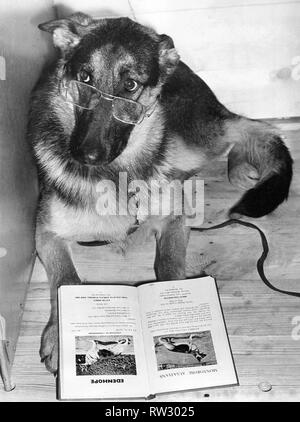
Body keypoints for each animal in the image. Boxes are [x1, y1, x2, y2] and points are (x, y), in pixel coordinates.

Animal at [27, 11, 290, 372]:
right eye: (84, 78)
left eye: (130, 86)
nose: (86, 156)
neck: (114, 174)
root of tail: (179, 63)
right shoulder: (46, 233)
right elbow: (65, 278)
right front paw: (58, 335)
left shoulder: (175, 220)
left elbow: (168, 264)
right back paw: (235, 166)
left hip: (189, 141)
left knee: (249, 128)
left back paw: (239, 165)